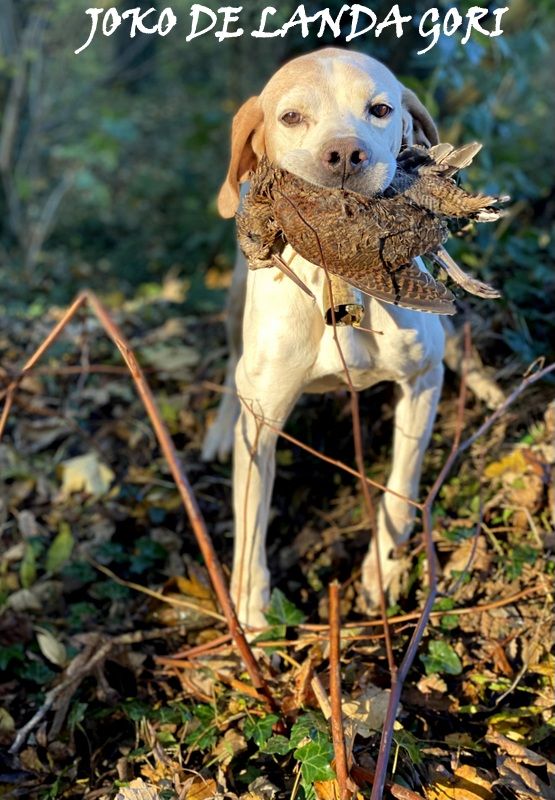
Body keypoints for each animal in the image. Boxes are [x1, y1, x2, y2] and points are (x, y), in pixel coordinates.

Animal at [203, 47, 504, 628]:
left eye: (380, 109)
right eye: (291, 117)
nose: (344, 154)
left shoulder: (422, 382)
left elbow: (401, 486)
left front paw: (383, 569)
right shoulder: (263, 424)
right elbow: (250, 522)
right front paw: (250, 608)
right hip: (235, 304)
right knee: (231, 364)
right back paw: (220, 427)